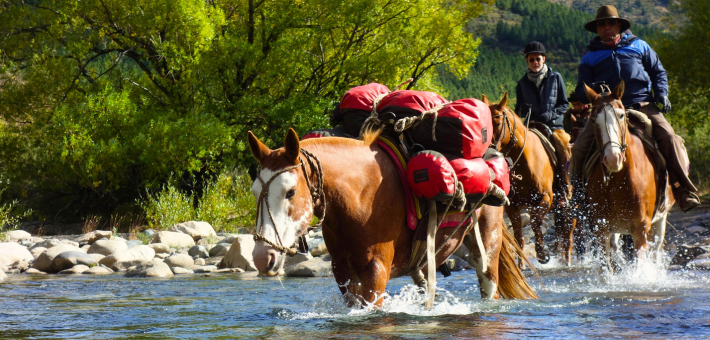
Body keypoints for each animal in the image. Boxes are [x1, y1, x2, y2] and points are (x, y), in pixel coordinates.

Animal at [248, 128, 536, 308]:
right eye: (253, 192)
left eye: (290, 191)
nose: (262, 256)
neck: (360, 196)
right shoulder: (343, 273)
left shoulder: (376, 272)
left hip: (486, 247)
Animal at [484, 93, 580, 266]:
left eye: (498, 123)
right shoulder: (512, 206)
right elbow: (518, 236)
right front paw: (521, 265)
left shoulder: (545, 199)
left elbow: (535, 222)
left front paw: (541, 254)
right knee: (560, 235)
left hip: (571, 207)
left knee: (568, 236)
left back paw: (568, 261)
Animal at [584, 79, 672, 268]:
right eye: (593, 120)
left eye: (621, 115)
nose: (612, 158)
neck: (620, 180)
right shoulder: (601, 229)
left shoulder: (641, 230)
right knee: (616, 248)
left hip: (660, 219)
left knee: (656, 251)